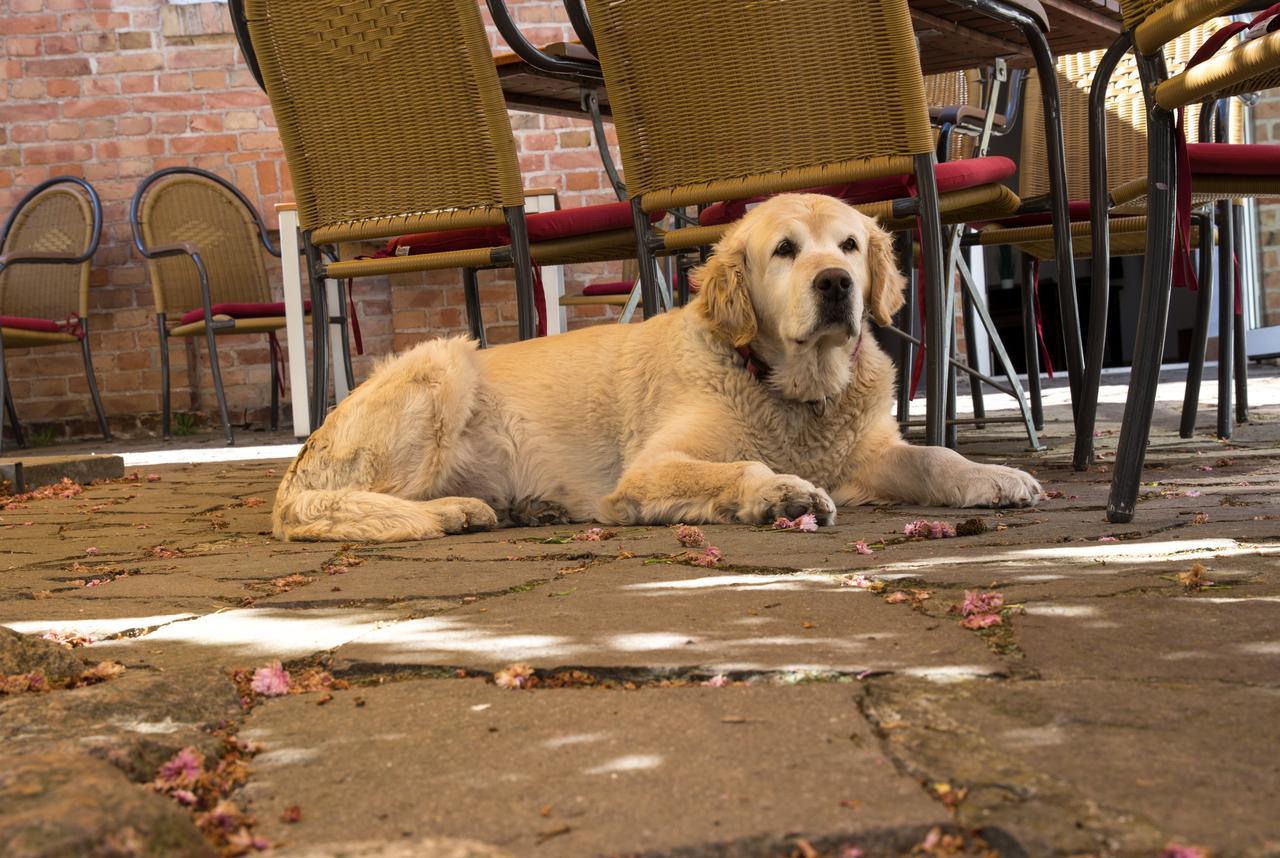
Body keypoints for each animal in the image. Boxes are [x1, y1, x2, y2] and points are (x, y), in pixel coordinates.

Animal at [270, 195, 1039, 545]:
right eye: (785, 250)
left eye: (849, 245)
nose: (836, 284)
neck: (791, 387)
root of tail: (303, 457)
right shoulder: (651, 467)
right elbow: (741, 466)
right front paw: (781, 492)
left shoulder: (867, 450)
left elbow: (937, 455)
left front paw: (997, 476)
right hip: (444, 361)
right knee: (348, 505)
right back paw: (456, 511)